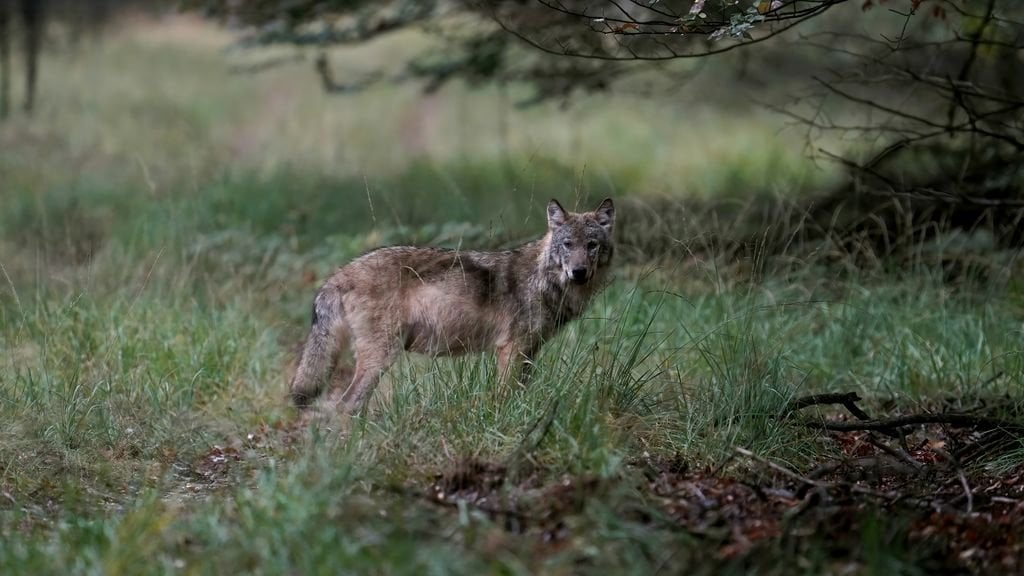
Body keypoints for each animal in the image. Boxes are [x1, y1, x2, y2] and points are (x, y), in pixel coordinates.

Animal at [289, 197, 615, 414]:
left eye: (592, 245)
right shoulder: (511, 349)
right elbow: (504, 396)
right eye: (568, 245)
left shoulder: (529, 352)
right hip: (380, 358)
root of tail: (339, 273)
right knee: (346, 406)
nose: (579, 272)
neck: (543, 280)